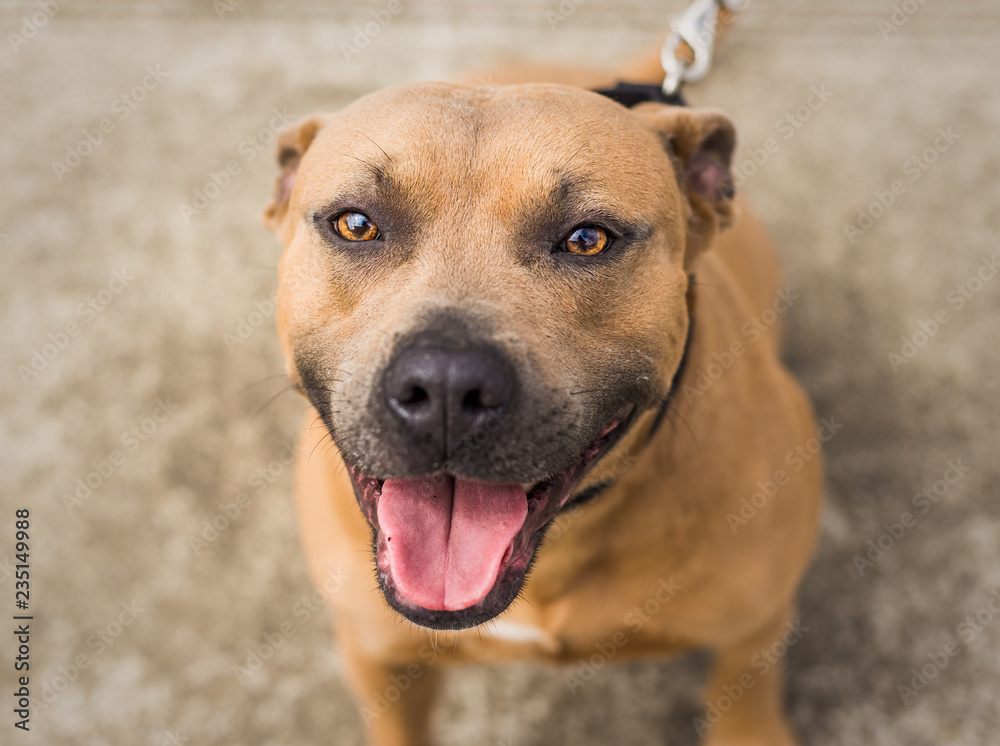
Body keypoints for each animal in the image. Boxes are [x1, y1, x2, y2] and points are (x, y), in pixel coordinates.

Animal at [264, 24, 820, 744]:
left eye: (588, 239)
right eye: (356, 224)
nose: (447, 388)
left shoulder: (752, 634)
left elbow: (745, 706)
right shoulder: (377, 654)